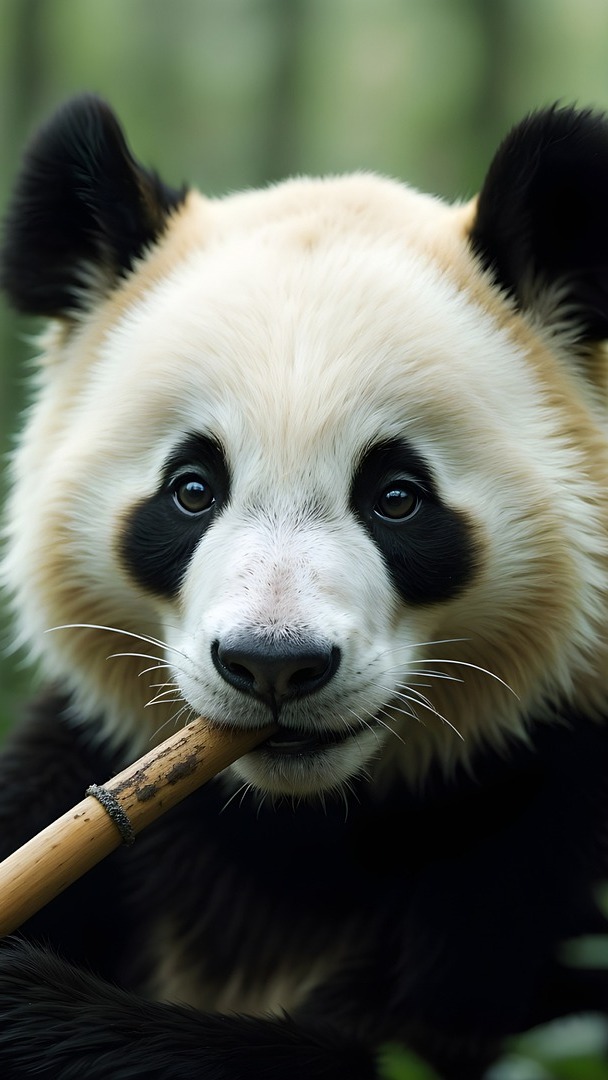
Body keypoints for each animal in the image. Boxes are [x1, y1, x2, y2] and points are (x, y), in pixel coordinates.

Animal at [0, 94, 607, 1080]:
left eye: (397, 497)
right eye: (192, 489)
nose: (272, 665)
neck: (301, 824)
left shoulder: (555, 827)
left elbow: (429, 1046)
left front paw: (32, 1003)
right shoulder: (79, 757)